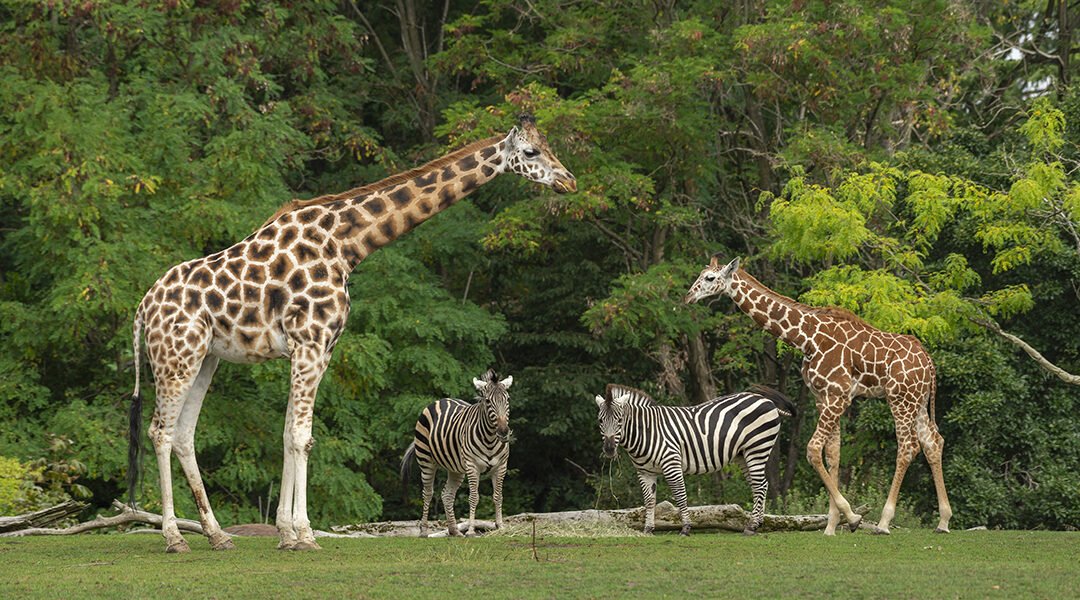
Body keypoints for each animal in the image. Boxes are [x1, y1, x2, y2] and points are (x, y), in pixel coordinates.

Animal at [401, 366, 514, 537]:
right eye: (488, 401)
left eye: (507, 400)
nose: (503, 433)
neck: (490, 439)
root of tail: (441, 400)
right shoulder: (472, 466)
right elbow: (474, 497)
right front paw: (472, 530)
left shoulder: (501, 466)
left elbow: (498, 496)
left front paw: (500, 527)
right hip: (426, 461)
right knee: (428, 493)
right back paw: (424, 531)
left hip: (455, 468)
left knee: (447, 494)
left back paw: (454, 530)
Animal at [591, 386, 794, 537]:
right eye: (600, 421)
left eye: (619, 420)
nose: (609, 449)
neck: (646, 432)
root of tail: (765, 400)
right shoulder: (645, 472)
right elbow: (649, 501)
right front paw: (648, 529)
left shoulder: (671, 463)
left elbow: (680, 495)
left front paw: (686, 528)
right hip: (743, 455)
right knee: (760, 485)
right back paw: (757, 523)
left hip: (757, 449)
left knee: (760, 485)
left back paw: (752, 526)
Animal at [682, 255, 954, 537]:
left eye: (710, 278)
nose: (688, 296)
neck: (807, 338)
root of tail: (929, 362)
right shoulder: (824, 396)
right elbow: (833, 454)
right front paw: (832, 525)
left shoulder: (838, 395)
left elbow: (813, 450)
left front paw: (852, 517)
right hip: (918, 400)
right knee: (933, 442)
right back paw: (943, 521)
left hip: (900, 399)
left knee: (908, 446)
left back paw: (883, 522)